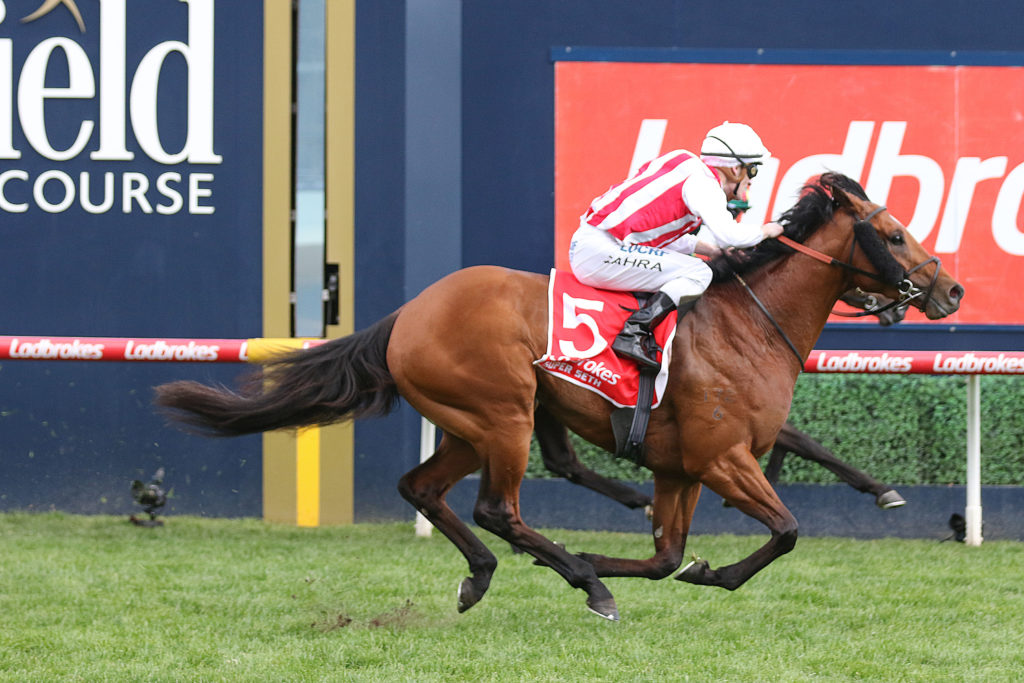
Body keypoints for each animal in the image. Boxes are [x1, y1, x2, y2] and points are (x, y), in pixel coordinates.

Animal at [155, 173, 963, 621]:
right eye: (894, 232)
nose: (951, 289)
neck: (748, 323)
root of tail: (408, 314)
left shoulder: (683, 465)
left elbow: (669, 554)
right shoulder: (721, 456)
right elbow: (786, 529)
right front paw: (691, 570)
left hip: (468, 426)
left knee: (423, 487)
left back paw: (488, 575)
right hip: (503, 412)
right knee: (497, 506)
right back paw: (579, 582)